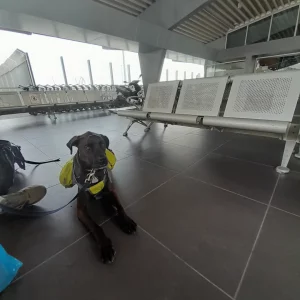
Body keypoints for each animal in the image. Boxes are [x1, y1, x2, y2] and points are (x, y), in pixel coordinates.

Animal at [67, 131, 137, 262]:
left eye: (102, 144)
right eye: (87, 147)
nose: (104, 160)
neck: (93, 174)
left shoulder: (112, 192)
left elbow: (120, 207)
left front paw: (126, 222)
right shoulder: (81, 210)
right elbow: (95, 226)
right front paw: (105, 247)